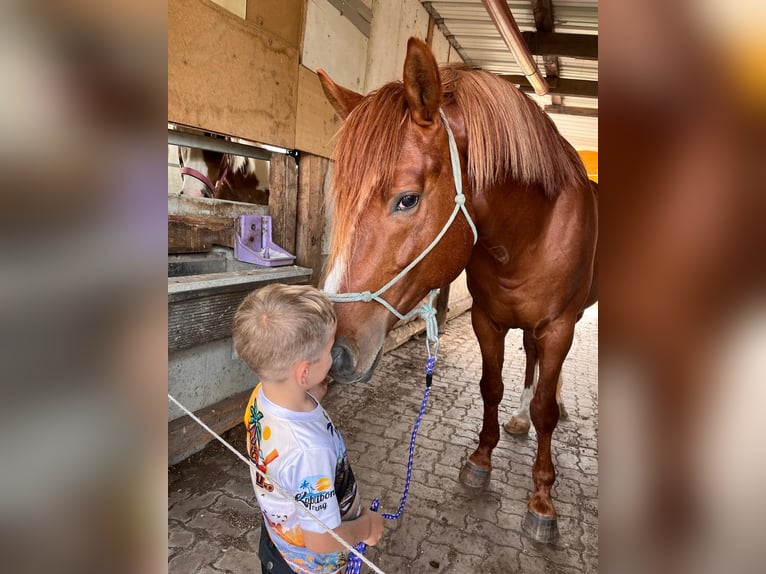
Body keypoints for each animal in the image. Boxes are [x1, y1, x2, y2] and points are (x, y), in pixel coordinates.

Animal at [320, 37, 600, 544]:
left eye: (408, 199)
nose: (332, 351)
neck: (530, 232)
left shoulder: (559, 327)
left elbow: (547, 411)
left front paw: (543, 502)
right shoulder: (486, 319)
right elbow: (491, 387)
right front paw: (481, 460)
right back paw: (518, 418)